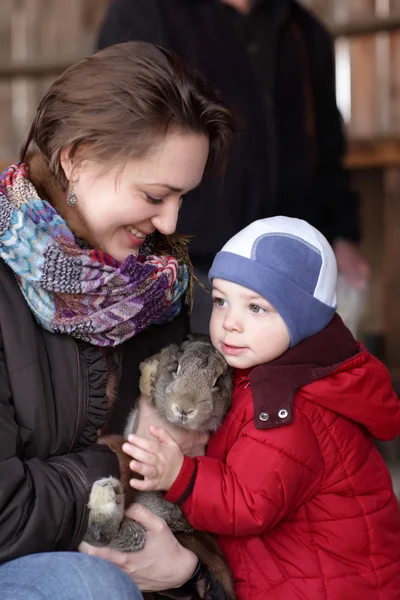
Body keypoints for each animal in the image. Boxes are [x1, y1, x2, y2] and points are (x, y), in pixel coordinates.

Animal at [83, 340, 234, 596]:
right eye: (177, 368)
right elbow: (148, 371)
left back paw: (106, 501)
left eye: (216, 382)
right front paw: (149, 377)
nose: (184, 408)